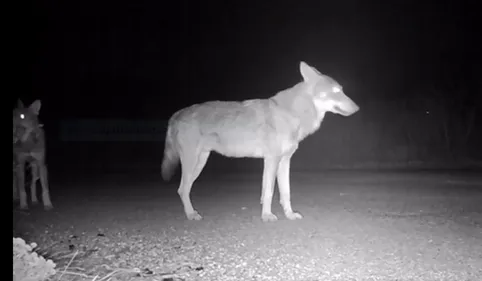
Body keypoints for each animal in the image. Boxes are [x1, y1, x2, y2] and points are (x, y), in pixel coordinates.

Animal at [161, 61, 358, 221]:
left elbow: (286, 193)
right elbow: (269, 191)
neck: (292, 114)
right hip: (192, 162)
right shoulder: (271, 160)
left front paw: (289, 215)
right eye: (336, 92)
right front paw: (267, 216)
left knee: (184, 189)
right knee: (182, 189)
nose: (357, 108)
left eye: (342, 90)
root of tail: (176, 114)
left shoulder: (284, 161)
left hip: (200, 163)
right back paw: (191, 215)